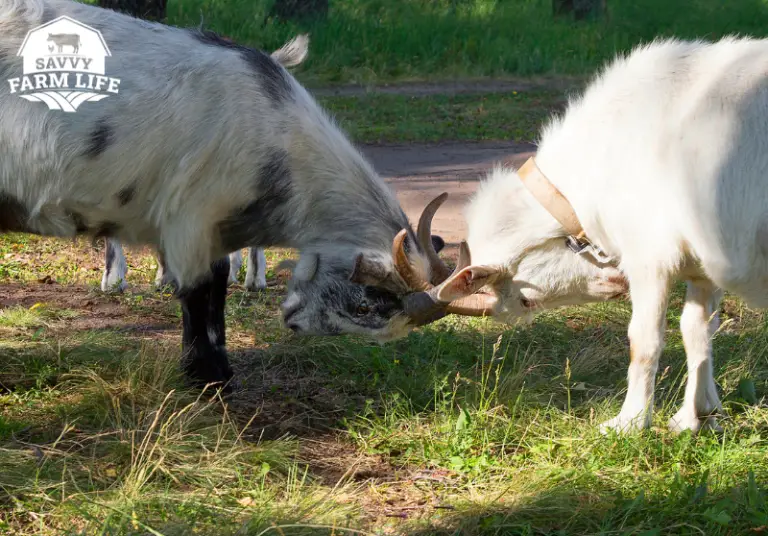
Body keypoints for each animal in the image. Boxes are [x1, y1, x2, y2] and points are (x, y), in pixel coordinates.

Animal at [385, 37, 768, 435]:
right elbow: (698, 331)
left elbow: (644, 340)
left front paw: (628, 422)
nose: (617, 283)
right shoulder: (701, 265)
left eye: (523, 301)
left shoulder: (649, 257)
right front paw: (697, 417)